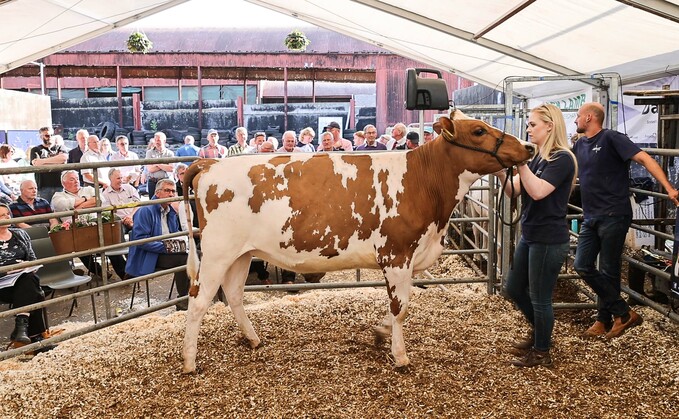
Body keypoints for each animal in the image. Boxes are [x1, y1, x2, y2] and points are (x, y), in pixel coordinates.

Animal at [182, 112, 536, 374]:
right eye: (478, 130)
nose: (529, 147)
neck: (423, 181)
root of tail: (209, 164)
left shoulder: (411, 256)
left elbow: (402, 306)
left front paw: (380, 333)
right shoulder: (396, 253)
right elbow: (401, 307)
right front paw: (400, 356)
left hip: (242, 254)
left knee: (233, 295)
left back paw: (254, 339)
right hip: (217, 252)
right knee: (198, 301)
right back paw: (189, 362)